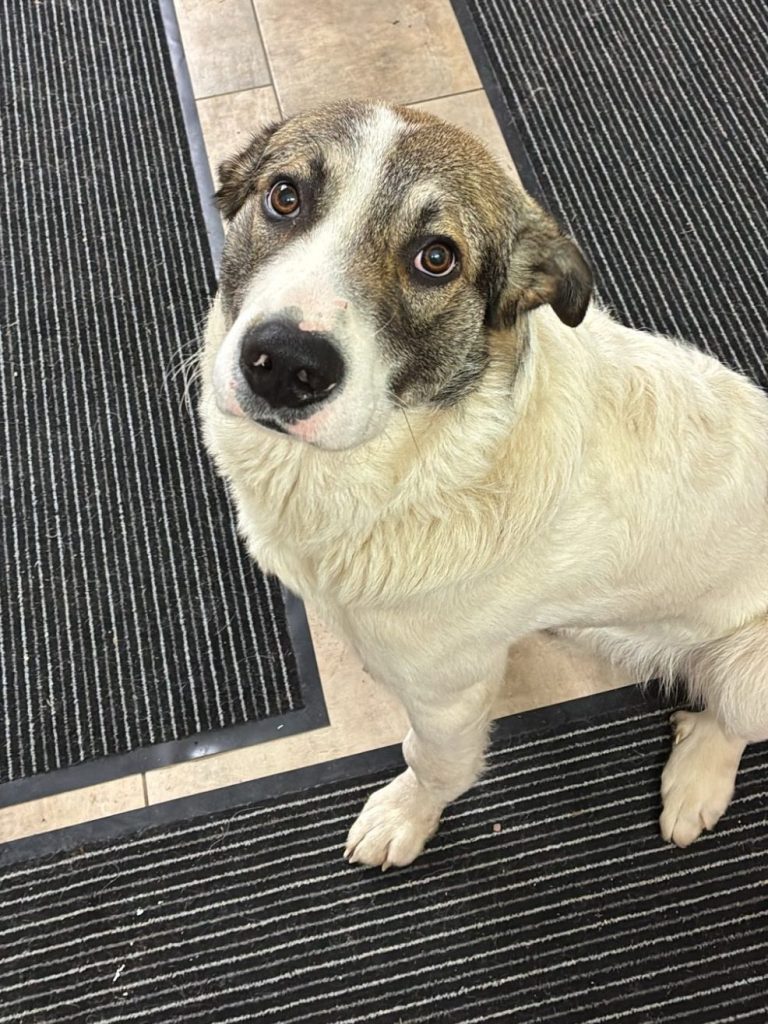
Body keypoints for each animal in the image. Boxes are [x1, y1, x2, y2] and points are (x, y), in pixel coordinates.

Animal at [199, 100, 768, 869]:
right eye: (284, 196)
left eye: (436, 257)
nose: (286, 364)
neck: (403, 463)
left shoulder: (449, 692)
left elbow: (436, 763)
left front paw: (406, 816)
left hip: (748, 668)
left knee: (728, 720)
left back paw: (696, 780)